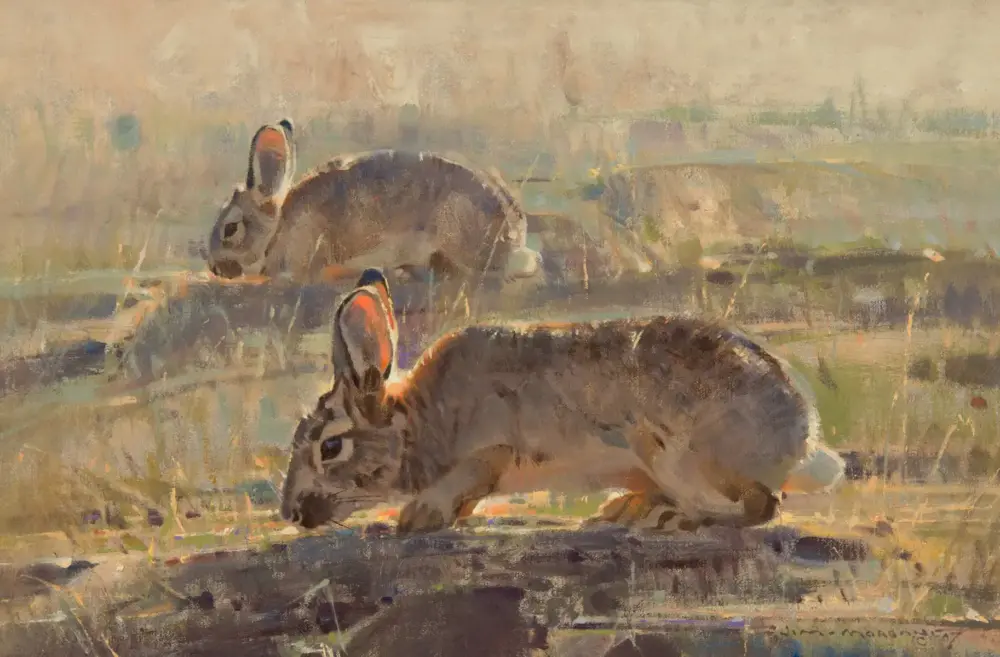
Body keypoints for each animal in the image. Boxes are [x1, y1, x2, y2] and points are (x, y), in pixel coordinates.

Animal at [280, 270, 845, 535]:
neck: (416, 422)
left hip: (673, 451)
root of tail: (803, 440)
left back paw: (672, 519)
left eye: (329, 447)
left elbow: (465, 480)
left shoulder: (493, 448)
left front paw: (418, 516)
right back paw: (629, 508)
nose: (289, 512)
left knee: (760, 505)